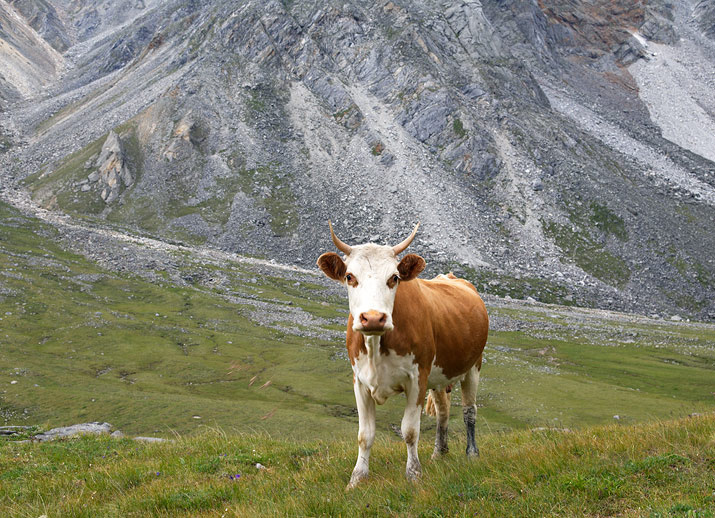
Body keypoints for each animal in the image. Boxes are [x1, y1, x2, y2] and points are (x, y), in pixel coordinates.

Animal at [317, 222, 489, 488]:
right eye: (349, 276)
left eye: (394, 278)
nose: (373, 318)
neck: (376, 345)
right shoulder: (359, 381)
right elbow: (364, 435)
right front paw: (357, 478)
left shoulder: (417, 379)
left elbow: (409, 431)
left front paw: (413, 474)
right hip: (439, 376)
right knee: (443, 411)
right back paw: (439, 453)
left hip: (473, 365)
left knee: (469, 411)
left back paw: (472, 454)